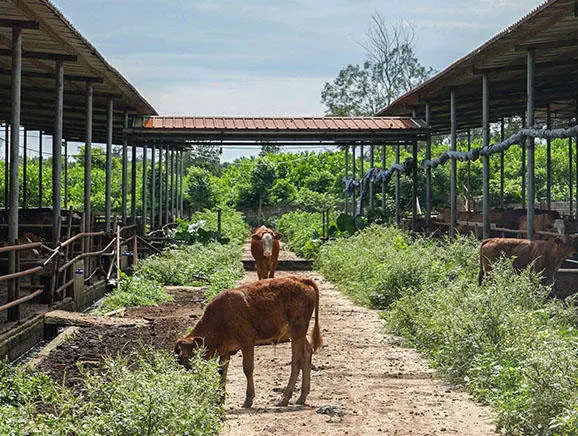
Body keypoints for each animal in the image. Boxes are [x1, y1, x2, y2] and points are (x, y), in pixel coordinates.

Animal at [173, 276, 322, 408]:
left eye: (184, 356)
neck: (221, 316)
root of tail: (302, 280)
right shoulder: (226, 350)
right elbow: (222, 371)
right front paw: (219, 400)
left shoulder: (247, 342)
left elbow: (247, 368)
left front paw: (248, 399)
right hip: (297, 334)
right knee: (307, 353)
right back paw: (301, 397)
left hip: (297, 331)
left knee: (297, 361)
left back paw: (284, 399)